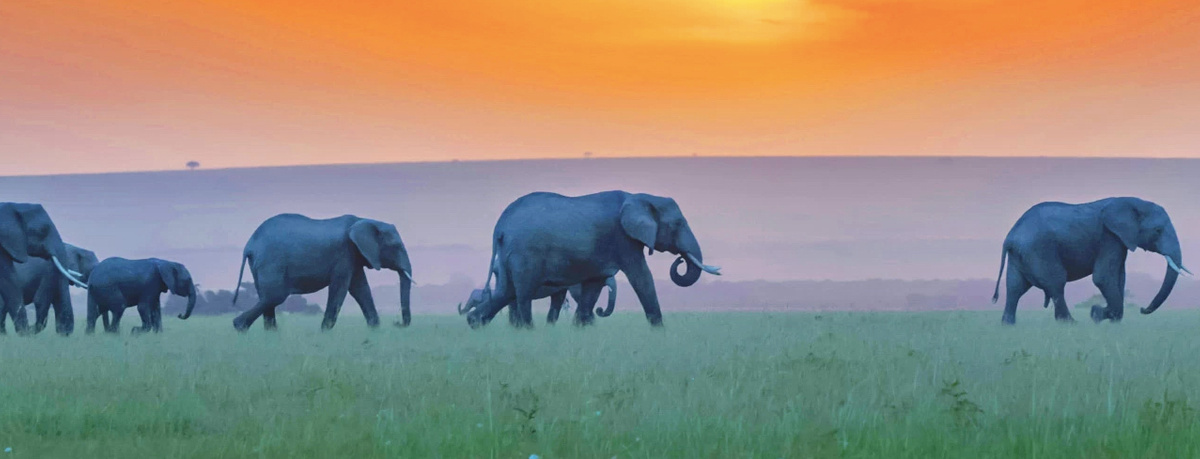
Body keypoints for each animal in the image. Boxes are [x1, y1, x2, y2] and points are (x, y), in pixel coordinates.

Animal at [231, 213, 415, 331]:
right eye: (396, 246)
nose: (397, 323)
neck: (363, 220)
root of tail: (249, 245)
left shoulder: (354, 256)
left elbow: (361, 289)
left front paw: (375, 329)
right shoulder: (344, 253)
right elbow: (340, 288)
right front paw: (325, 332)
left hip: (259, 265)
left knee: (267, 297)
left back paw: (270, 334)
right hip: (271, 262)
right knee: (275, 296)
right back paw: (240, 327)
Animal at [993, 195, 1190, 322]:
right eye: (1158, 230)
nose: (1142, 309)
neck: (1133, 202)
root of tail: (1010, 236)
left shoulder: (1120, 240)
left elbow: (1119, 277)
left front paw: (1107, 317)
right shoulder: (1109, 237)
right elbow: (1103, 277)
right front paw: (1096, 314)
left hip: (1020, 256)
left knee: (1015, 288)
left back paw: (1008, 325)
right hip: (1039, 250)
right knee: (1056, 283)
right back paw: (1070, 323)